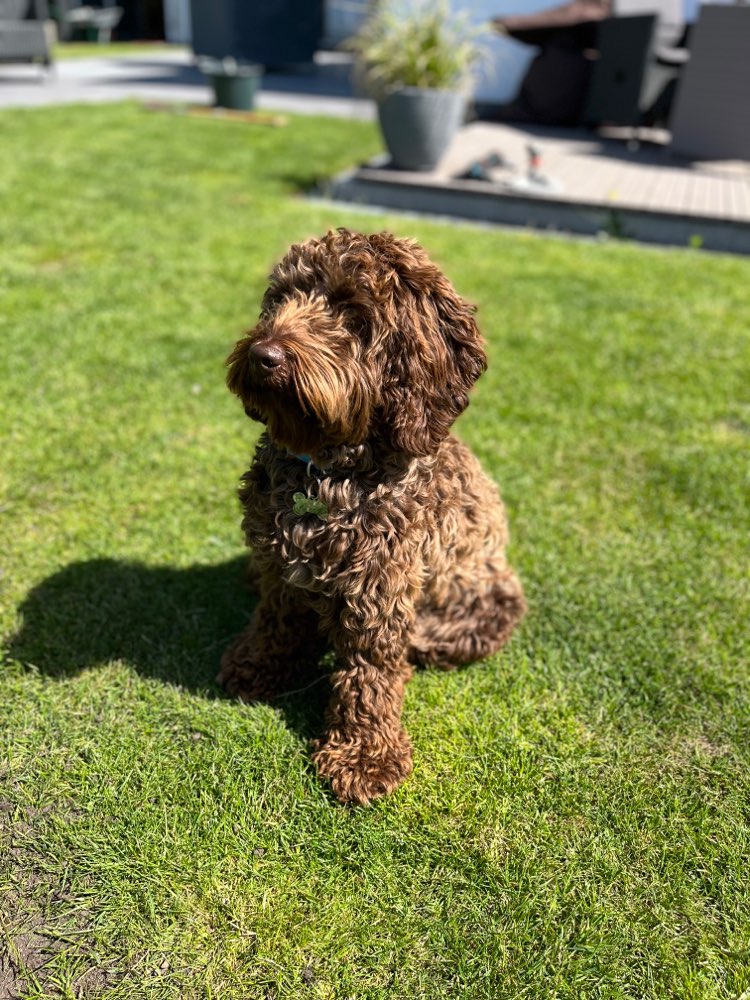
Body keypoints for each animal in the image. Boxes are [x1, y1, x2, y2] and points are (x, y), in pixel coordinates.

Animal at [220, 229, 524, 804]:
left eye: (352, 312)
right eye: (281, 299)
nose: (264, 355)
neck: (325, 475)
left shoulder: (379, 587)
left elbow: (370, 671)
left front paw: (364, 756)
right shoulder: (279, 566)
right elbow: (274, 618)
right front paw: (258, 666)